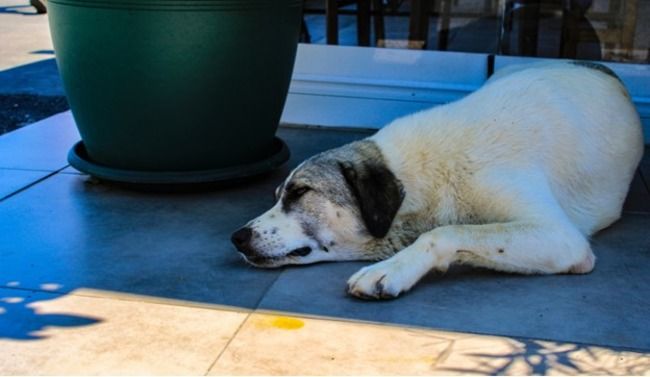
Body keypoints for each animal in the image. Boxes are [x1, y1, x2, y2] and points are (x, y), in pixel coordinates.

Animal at [230, 60, 640, 298]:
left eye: (300, 192)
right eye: (278, 195)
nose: (238, 237)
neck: (422, 175)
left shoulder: (560, 236)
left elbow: (446, 232)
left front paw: (391, 270)